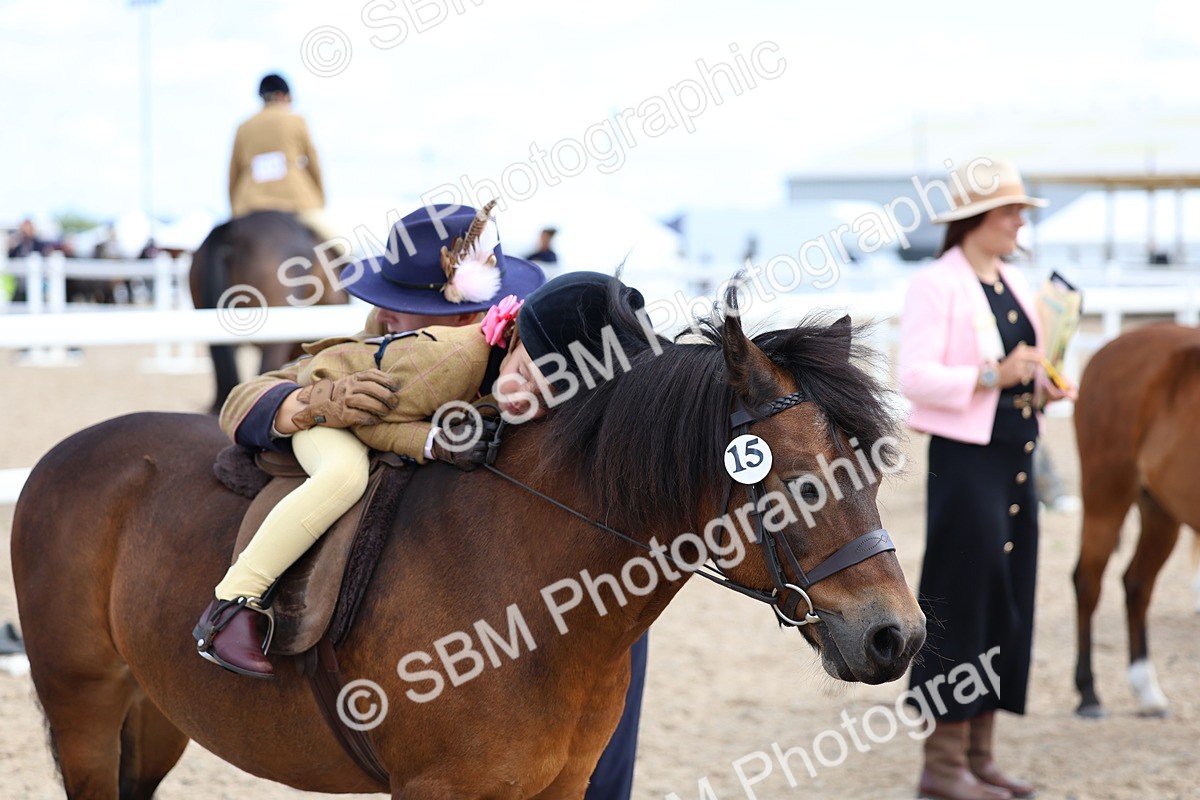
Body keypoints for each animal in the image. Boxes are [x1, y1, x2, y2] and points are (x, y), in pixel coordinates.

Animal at [12, 299, 926, 799]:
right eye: (801, 481)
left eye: (873, 468)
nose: (897, 637)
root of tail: (66, 452)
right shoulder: (436, 789)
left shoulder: (558, 786)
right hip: (84, 706)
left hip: (154, 710)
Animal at [1072, 322, 1200, 718]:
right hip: (1106, 495)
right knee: (1088, 583)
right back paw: (1088, 692)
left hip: (1161, 512)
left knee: (1137, 584)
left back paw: (1147, 689)